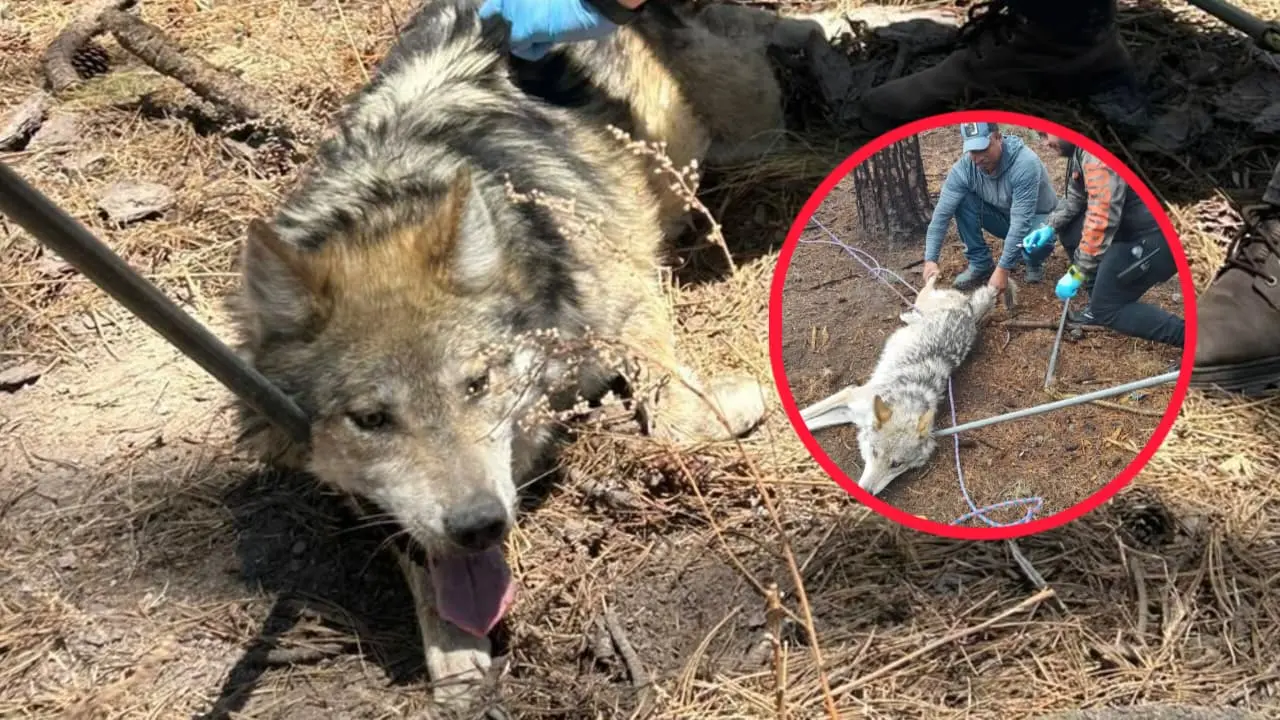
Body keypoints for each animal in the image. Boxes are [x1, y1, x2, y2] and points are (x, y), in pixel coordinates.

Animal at [227, 0, 801, 711]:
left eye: (477, 384)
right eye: (371, 420)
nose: (478, 526)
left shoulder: (630, 292)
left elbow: (673, 419)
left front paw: (735, 403)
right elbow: (421, 563)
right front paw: (454, 658)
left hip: (746, 123)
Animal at [800, 276, 999, 497]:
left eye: (896, 465)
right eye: (874, 452)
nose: (865, 491)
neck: (900, 396)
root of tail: (968, 313)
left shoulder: (849, 413)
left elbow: (809, 423)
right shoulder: (849, 396)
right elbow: (805, 415)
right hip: (924, 301)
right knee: (925, 289)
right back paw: (930, 279)